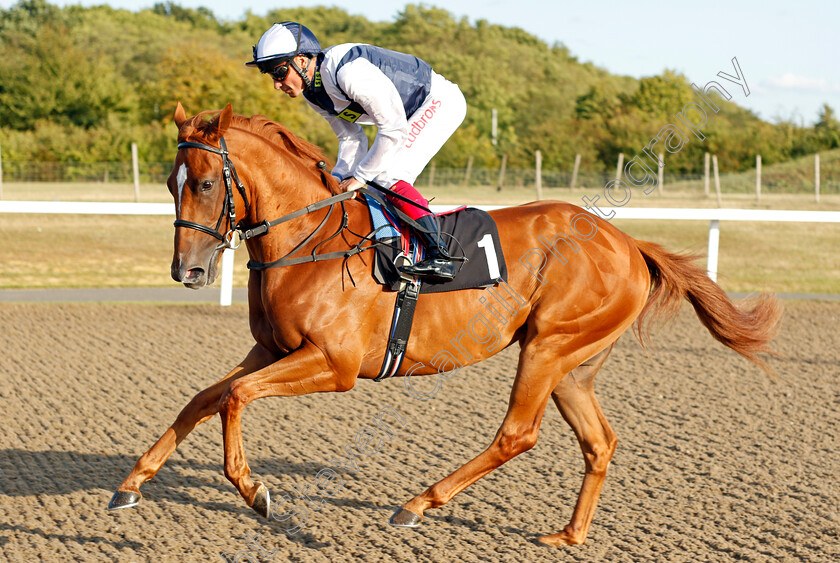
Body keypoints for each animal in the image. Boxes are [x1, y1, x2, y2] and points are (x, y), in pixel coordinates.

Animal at [106, 104, 780, 548]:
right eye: (169, 182)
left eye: (207, 182)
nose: (188, 271)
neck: (310, 238)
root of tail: (629, 244)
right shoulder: (271, 348)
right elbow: (205, 398)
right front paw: (130, 484)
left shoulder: (335, 364)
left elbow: (237, 398)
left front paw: (254, 491)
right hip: (574, 365)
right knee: (599, 441)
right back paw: (568, 535)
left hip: (548, 346)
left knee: (517, 435)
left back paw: (416, 504)